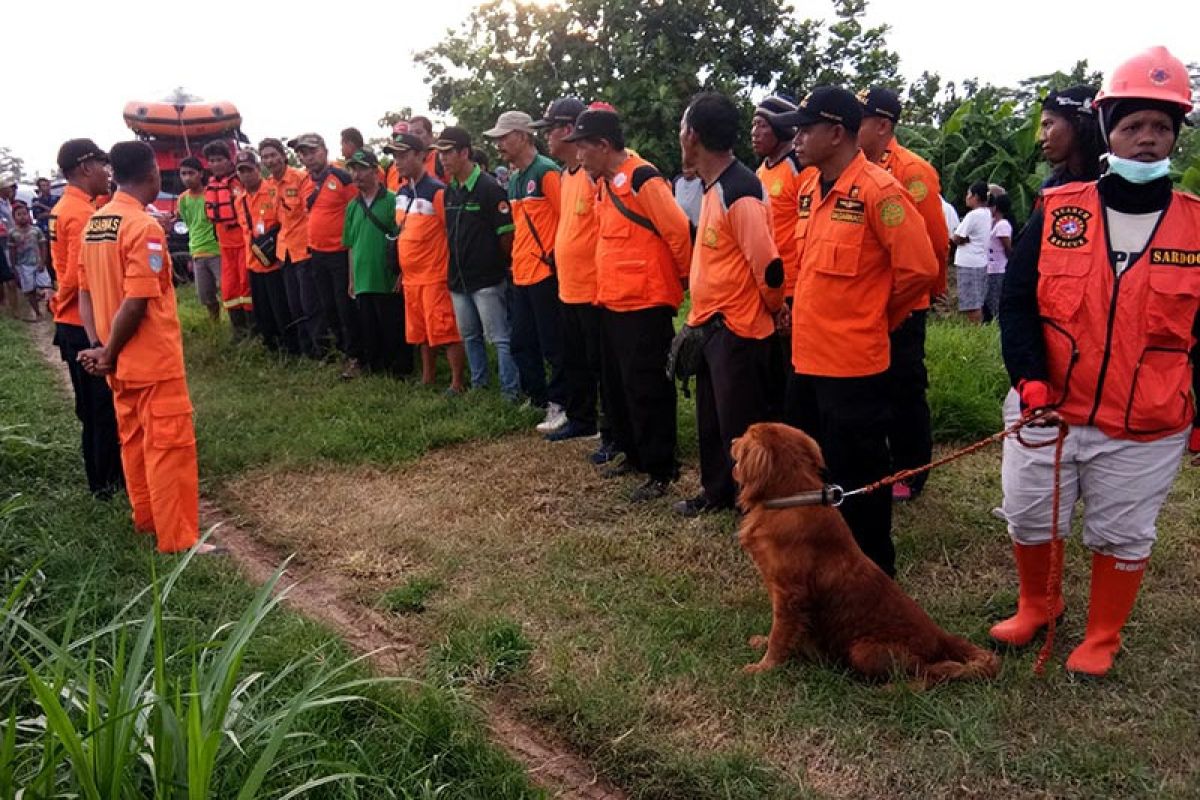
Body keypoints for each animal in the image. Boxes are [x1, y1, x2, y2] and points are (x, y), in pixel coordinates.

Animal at [734, 422, 998, 690]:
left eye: (745, 435)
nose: (733, 440)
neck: (792, 499)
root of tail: (941, 636)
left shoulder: (791, 595)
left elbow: (780, 635)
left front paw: (762, 668)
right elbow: (780, 631)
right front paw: (763, 644)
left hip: (864, 651)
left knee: (935, 672)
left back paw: (894, 689)